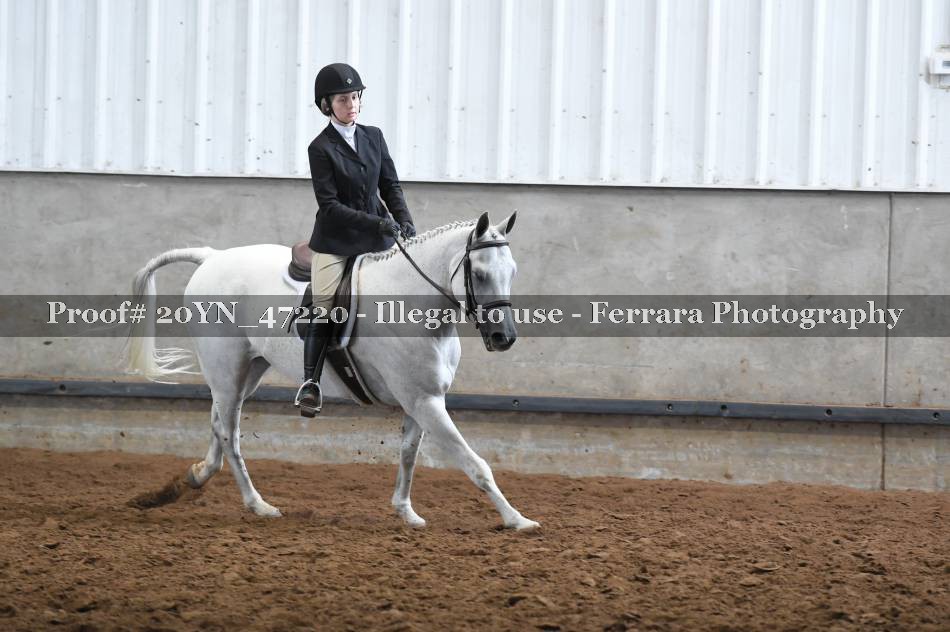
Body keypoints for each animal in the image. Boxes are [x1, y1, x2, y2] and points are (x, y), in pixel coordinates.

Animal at [124, 212, 539, 530]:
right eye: (480, 274)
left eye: (513, 271)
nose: (504, 337)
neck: (412, 304)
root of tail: (212, 258)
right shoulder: (425, 402)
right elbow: (476, 464)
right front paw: (517, 520)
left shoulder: (423, 399)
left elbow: (408, 454)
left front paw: (406, 512)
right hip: (226, 369)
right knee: (229, 434)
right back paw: (258, 505)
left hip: (246, 370)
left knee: (216, 423)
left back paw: (195, 476)